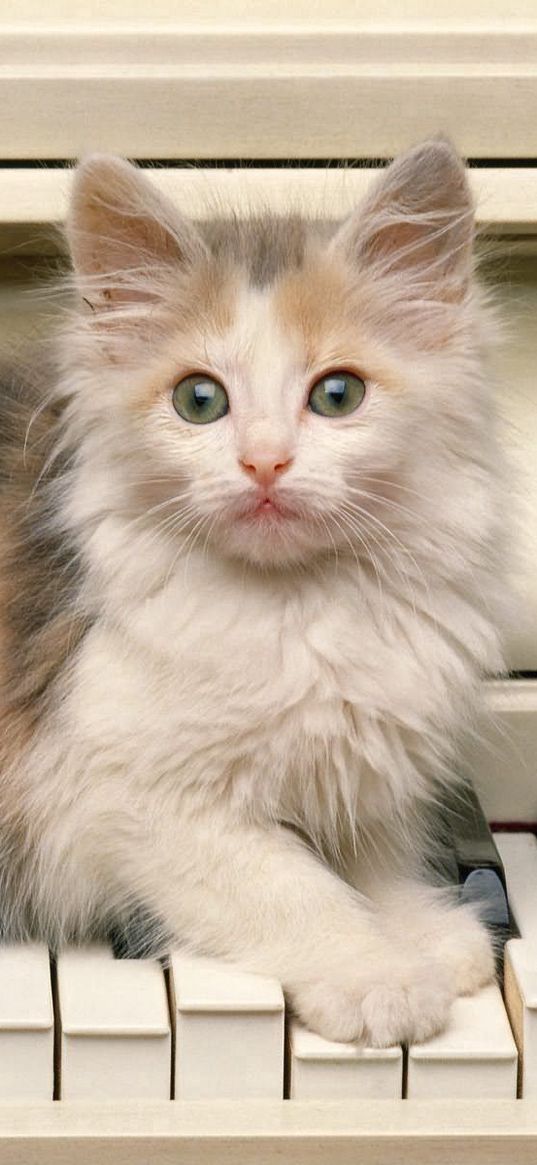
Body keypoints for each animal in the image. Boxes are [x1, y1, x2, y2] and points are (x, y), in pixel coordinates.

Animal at [0, 138, 505, 1048]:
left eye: (337, 394)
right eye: (199, 400)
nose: (263, 462)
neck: (299, 606)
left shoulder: (364, 749)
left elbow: (374, 851)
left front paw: (429, 930)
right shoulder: (123, 791)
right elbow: (290, 884)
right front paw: (377, 976)